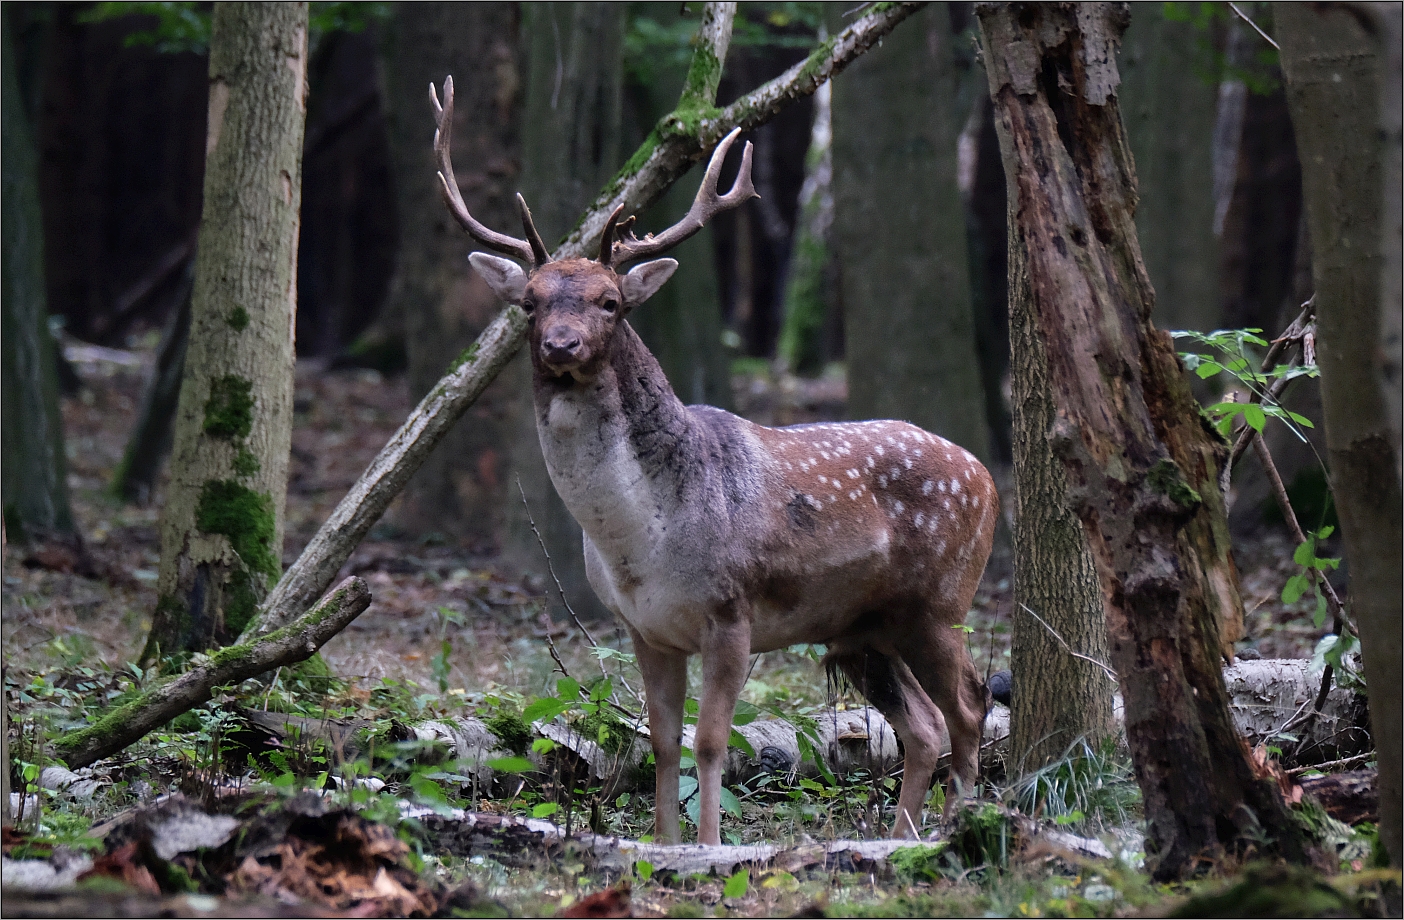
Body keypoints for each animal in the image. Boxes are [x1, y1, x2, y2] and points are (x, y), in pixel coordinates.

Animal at [432, 75, 994, 848]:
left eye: (610, 301)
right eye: (530, 302)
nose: (562, 345)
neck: (641, 539)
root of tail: (989, 476)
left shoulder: (731, 611)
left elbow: (710, 741)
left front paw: (708, 849)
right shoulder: (644, 629)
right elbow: (662, 743)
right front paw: (666, 845)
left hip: (941, 599)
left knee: (969, 706)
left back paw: (956, 828)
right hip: (862, 630)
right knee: (925, 725)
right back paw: (901, 835)